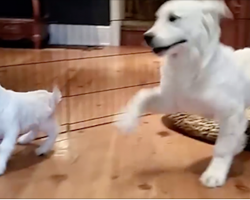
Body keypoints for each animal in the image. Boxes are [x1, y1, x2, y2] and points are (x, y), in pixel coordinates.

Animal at [115, 0, 250, 188]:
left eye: (173, 18)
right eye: (157, 18)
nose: (146, 37)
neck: (189, 65)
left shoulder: (231, 113)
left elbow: (222, 147)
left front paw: (215, 173)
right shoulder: (171, 100)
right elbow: (142, 95)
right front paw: (127, 119)